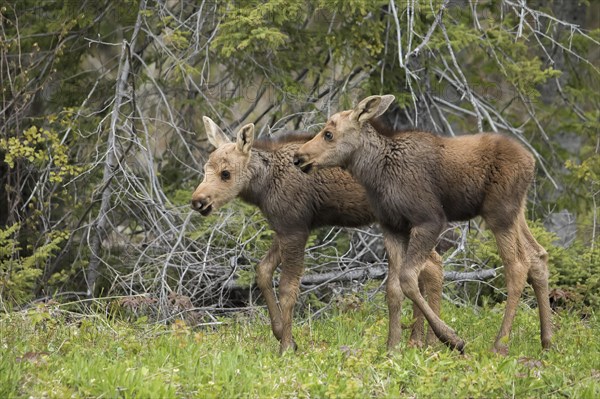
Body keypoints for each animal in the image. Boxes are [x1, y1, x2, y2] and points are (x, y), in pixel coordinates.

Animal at [192, 117, 446, 354]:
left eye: (226, 173)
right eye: (205, 169)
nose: (198, 201)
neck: (262, 187)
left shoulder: (295, 228)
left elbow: (287, 289)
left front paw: (286, 346)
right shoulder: (285, 227)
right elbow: (262, 271)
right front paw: (279, 332)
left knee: (431, 266)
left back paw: (430, 341)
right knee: (430, 265)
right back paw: (417, 340)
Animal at [292, 94, 552, 356]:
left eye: (328, 134)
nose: (298, 157)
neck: (377, 175)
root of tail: (532, 162)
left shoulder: (429, 219)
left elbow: (408, 278)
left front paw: (450, 338)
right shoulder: (392, 227)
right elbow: (393, 288)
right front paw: (393, 346)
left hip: (500, 213)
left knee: (517, 265)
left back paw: (500, 344)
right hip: (516, 211)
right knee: (537, 255)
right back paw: (547, 340)